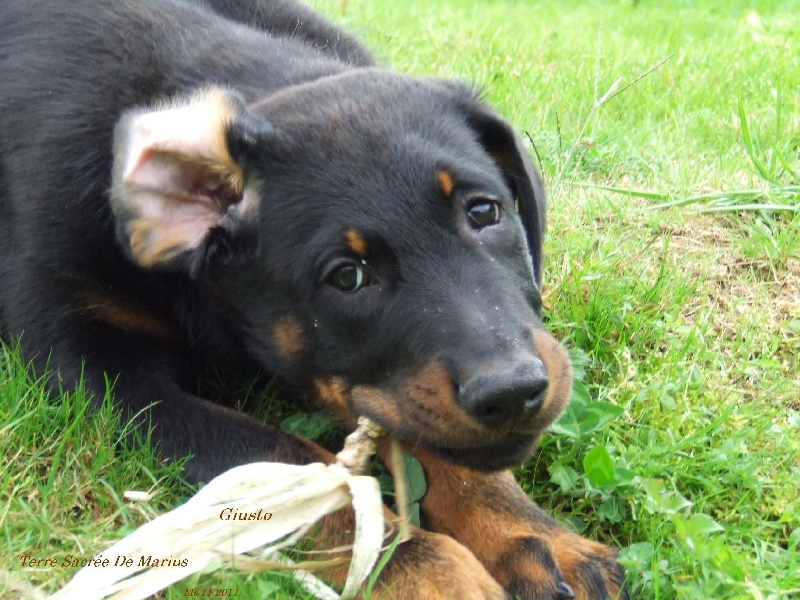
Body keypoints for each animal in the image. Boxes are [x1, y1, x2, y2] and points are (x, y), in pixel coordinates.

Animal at [0, 2, 624, 596]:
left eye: (484, 212)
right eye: (347, 277)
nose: (513, 392)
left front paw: (529, 534)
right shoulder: (93, 370)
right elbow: (284, 463)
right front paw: (426, 568)